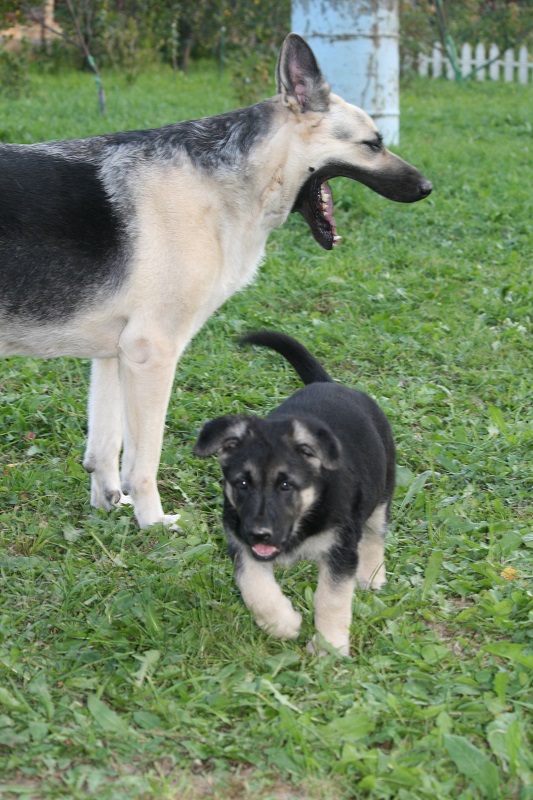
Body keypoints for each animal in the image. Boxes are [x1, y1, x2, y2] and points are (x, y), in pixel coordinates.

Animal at [0, 34, 430, 528]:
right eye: (373, 144)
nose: (427, 188)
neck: (221, 181)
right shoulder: (152, 355)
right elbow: (143, 461)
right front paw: (153, 523)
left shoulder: (114, 355)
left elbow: (105, 448)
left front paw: (110, 505)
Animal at [193, 332, 392, 656]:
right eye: (242, 484)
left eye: (285, 486)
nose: (259, 533)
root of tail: (329, 384)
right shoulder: (242, 544)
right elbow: (253, 586)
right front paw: (281, 622)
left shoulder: (341, 551)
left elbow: (331, 599)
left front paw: (329, 647)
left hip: (382, 492)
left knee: (375, 534)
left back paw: (371, 575)